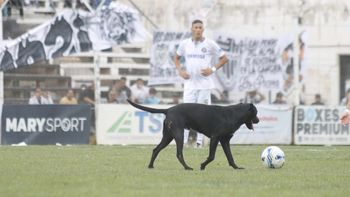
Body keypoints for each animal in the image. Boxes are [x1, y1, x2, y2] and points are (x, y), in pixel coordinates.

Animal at [127, 99, 258, 170]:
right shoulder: (215, 138)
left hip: (168, 136)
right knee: (179, 154)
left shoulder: (225, 141)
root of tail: (168, 109)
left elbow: (230, 157)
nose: (258, 120)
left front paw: (237, 168)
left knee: (156, 150)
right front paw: (202, 166)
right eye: (256, 112)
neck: (234, 114)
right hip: (179, 135)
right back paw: (187, 167)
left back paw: (150, 166)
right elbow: (212, 156)